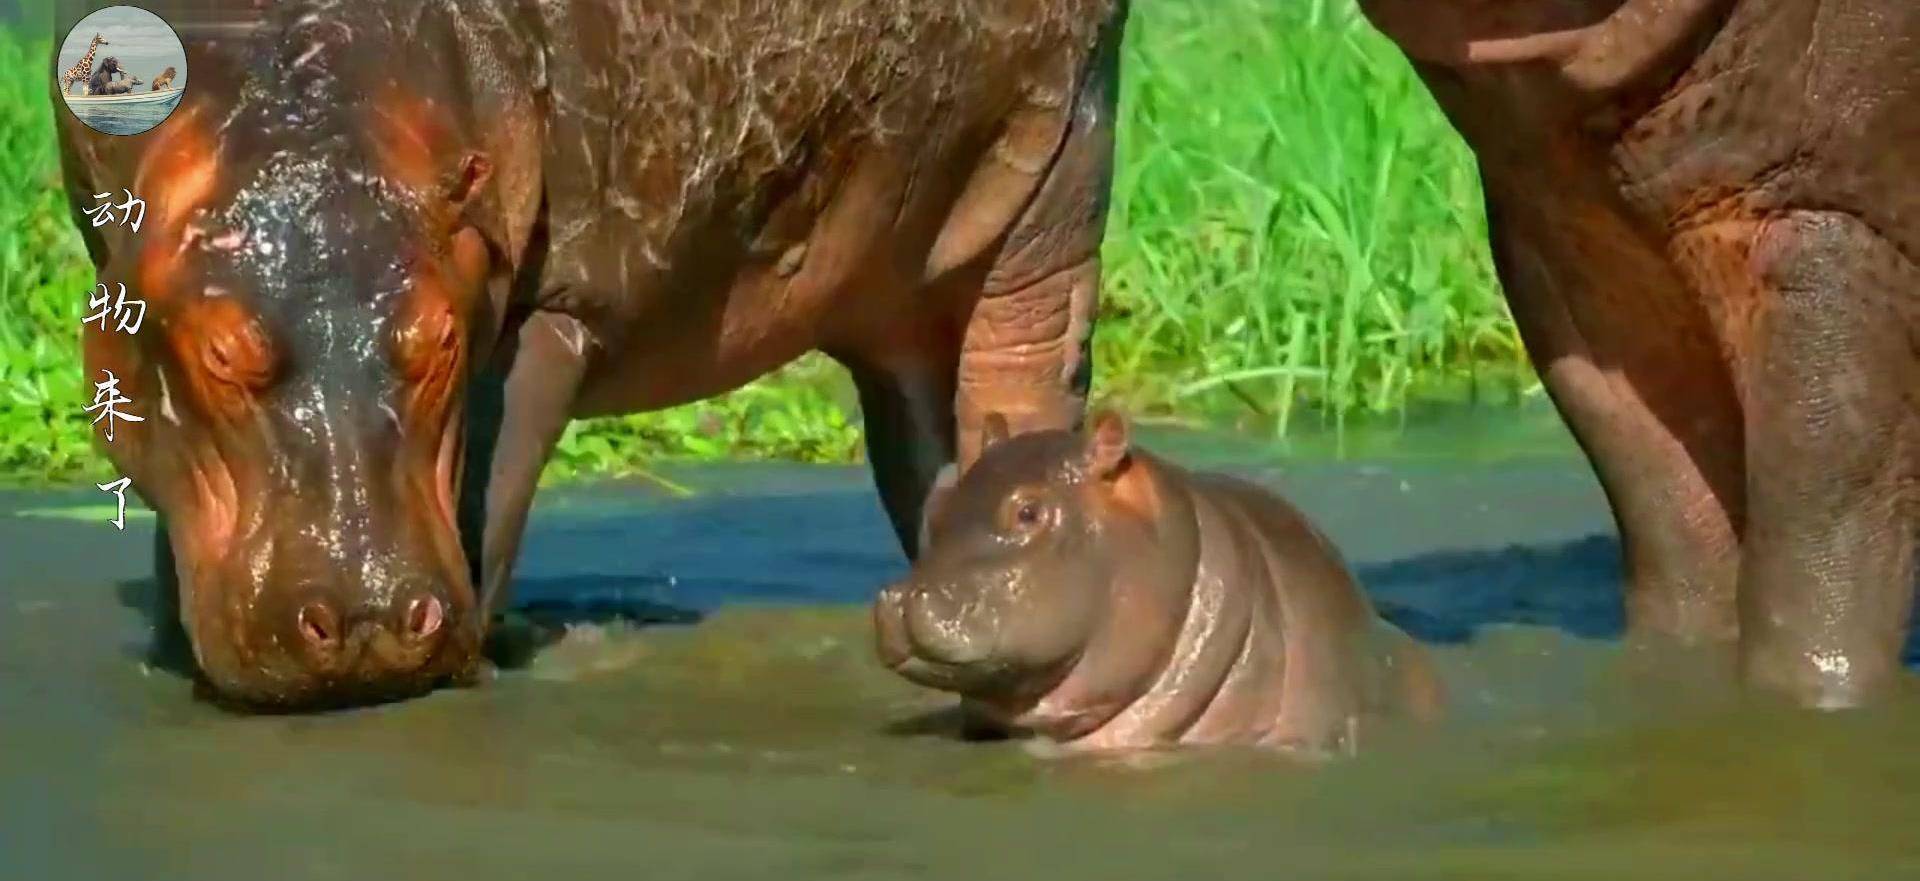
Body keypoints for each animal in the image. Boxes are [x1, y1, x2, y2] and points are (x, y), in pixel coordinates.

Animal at [56, 0, 1121, 714]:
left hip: (1053, 187)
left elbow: (484, 499)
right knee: (922, 451)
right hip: (891, 282)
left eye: (442, 338)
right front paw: (170, 644)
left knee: (1025, 385)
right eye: (221, 352)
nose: (366, 619)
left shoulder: (546, 306)